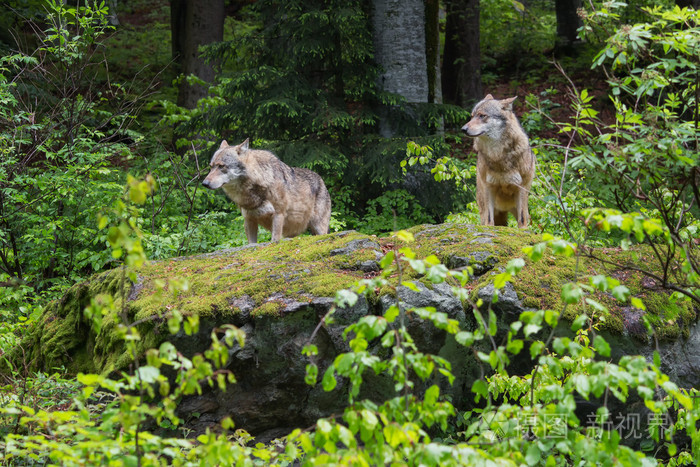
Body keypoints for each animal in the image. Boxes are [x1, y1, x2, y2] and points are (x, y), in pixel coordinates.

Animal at [202, 139, 334, 245]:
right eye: (211, 167)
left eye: (221, 166)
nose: (204, 183)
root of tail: (321, 180)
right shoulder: (249, 219)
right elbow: (251, 244)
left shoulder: (278, 214)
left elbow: (274, 240)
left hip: (318, 227)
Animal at [462, 93, 532, 229]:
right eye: (472, 116)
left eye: (482, 115)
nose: (463, 129)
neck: (498, 155)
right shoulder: (489, 187)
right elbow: (490, 220)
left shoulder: (521, 187)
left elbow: (522, 220)